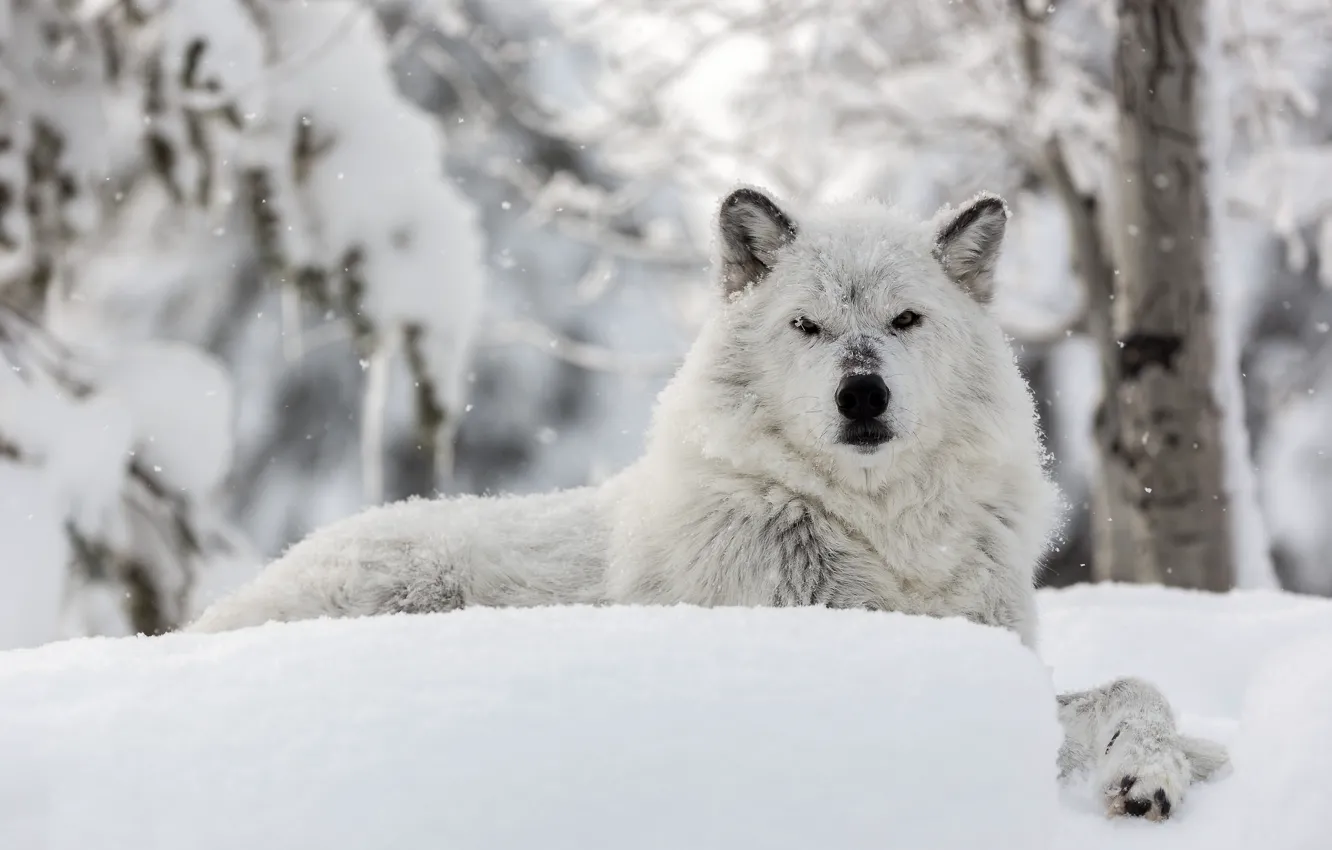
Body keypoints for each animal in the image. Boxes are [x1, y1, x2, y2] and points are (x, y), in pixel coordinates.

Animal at [190, 187, 1229, 819]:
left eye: (904, 321)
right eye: (808, 325)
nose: (862, 395)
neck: (885, 534)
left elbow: (1140, 687)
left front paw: (1160, 769)